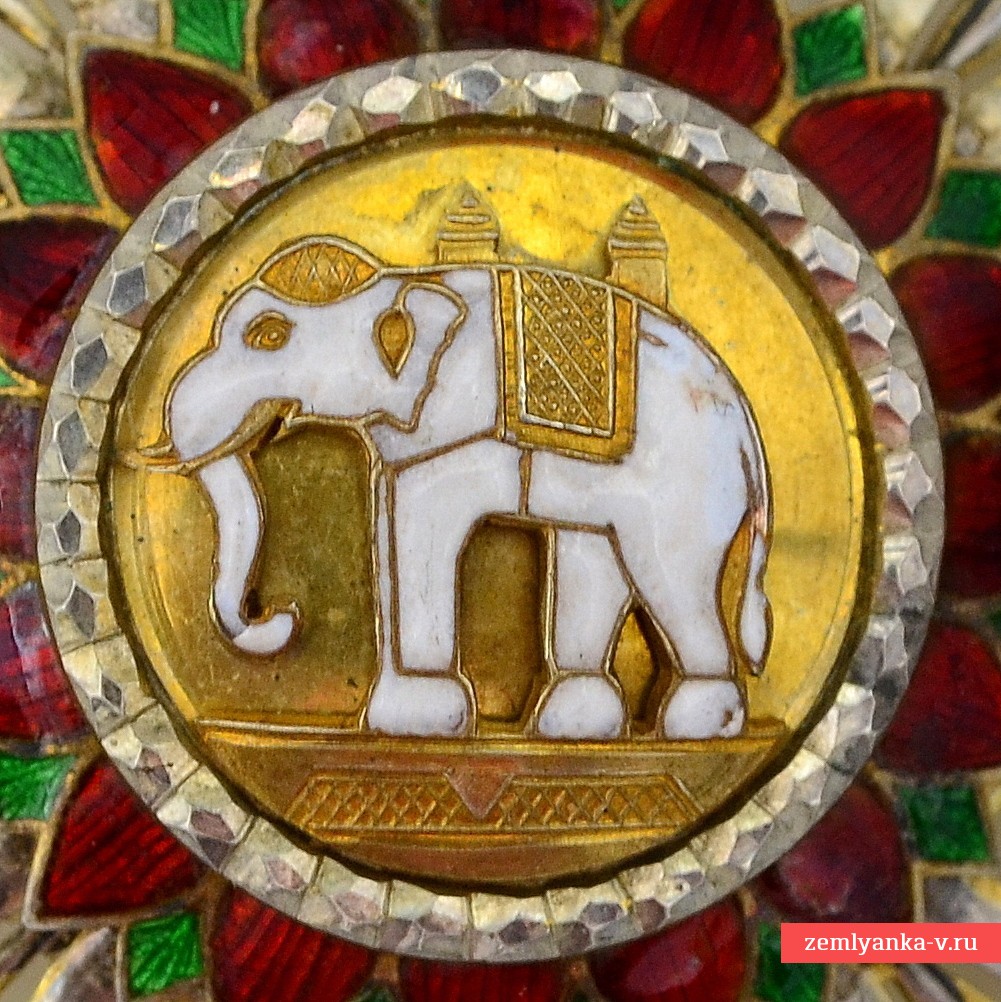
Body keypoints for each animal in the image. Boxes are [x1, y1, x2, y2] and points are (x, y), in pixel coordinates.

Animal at [139, 225, 771, 742]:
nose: (281, 612)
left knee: (667, 572)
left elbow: (427, 524)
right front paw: (405, 716)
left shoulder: (454, 430)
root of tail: (744, 420)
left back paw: (696, 724)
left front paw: (414, 719)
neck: (398, 280)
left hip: (684, 482)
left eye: (269, 335)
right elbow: (392, 527)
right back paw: (573, 725)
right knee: (596, 558)